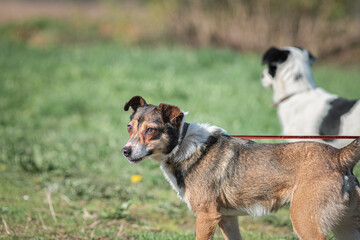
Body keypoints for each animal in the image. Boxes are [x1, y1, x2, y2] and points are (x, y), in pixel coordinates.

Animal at [121, 96, 360, 240]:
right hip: (345, 227)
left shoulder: (206, 217)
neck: (182, 144)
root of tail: (339, 156)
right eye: (130, 128)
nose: (125, 151)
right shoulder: (227, 219)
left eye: (151, 130)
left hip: (304, 220)